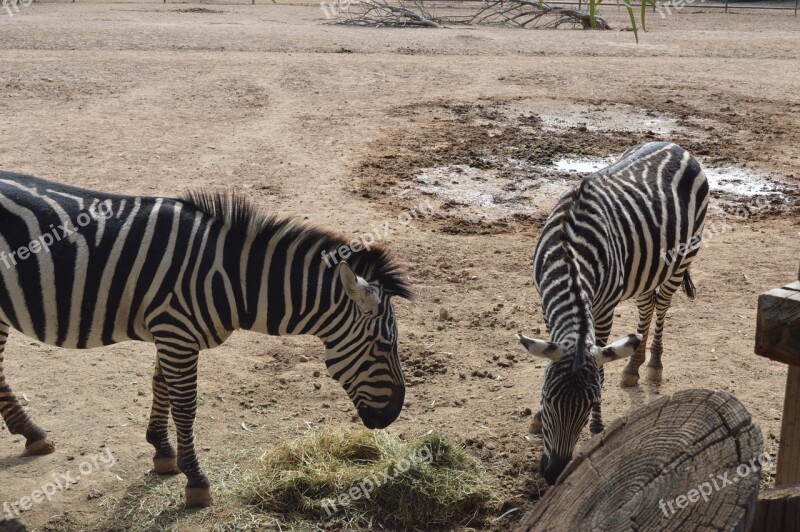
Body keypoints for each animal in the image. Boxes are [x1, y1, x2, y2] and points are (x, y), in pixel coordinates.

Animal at [0, 170, 412, 508]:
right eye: (383, 345)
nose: (392, 415)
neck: (231, 277)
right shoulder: (176, 332)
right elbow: (185, 405)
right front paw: (196, 480)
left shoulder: (169, 331)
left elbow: (160, 386)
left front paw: (162, 450)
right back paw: (31, 431)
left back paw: (31, 432)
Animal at [516, 141, 708, 486]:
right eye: (548, 399)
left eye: (590, 404)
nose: (553, 474)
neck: (569, 253)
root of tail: (676, 145)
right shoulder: (547, 305)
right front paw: (536, 418)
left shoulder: (604, 309)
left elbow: (601, 368)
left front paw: (597, 427)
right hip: (647, 270)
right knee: (647, 307)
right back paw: (633, 365)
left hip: (683, 257)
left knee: (662, 306)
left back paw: (653, 364)